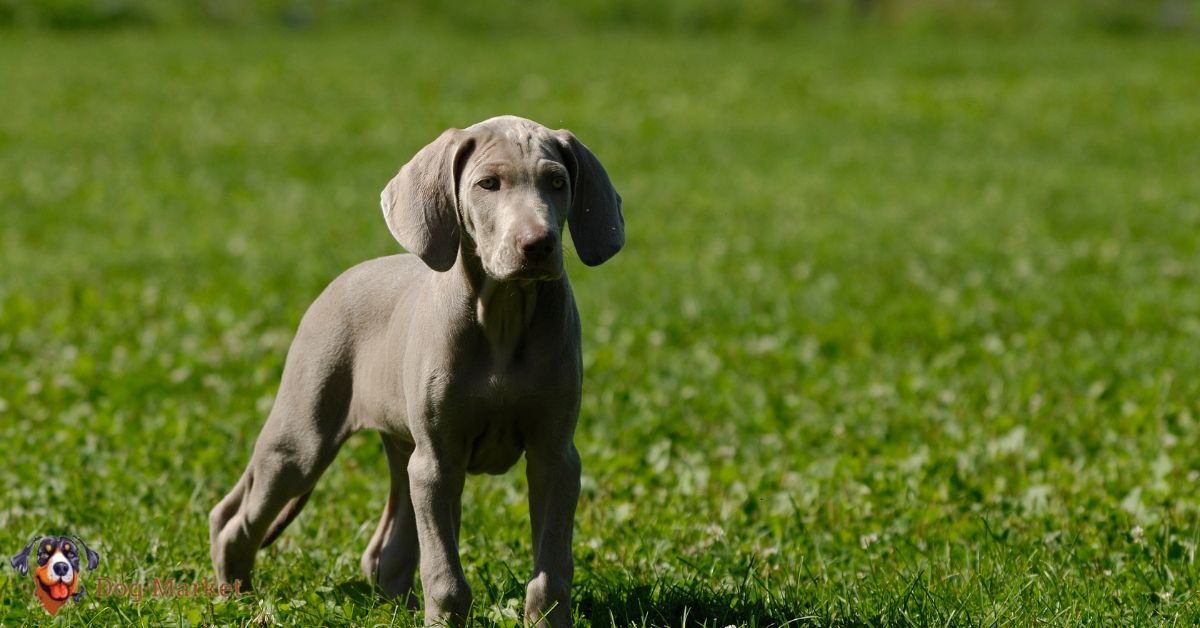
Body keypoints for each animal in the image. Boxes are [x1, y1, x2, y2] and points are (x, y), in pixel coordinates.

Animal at [212, 115, 628, 624]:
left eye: (557, 182)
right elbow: (445, 575)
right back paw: (236, 596)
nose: (538, 245)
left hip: (404, 448)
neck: (504, 315)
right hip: (304, 437)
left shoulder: (555, 457)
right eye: (488, 184)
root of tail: (341, 279)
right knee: (235, 518)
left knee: (384, 551)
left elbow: (551, 570)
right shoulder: (439, 461)